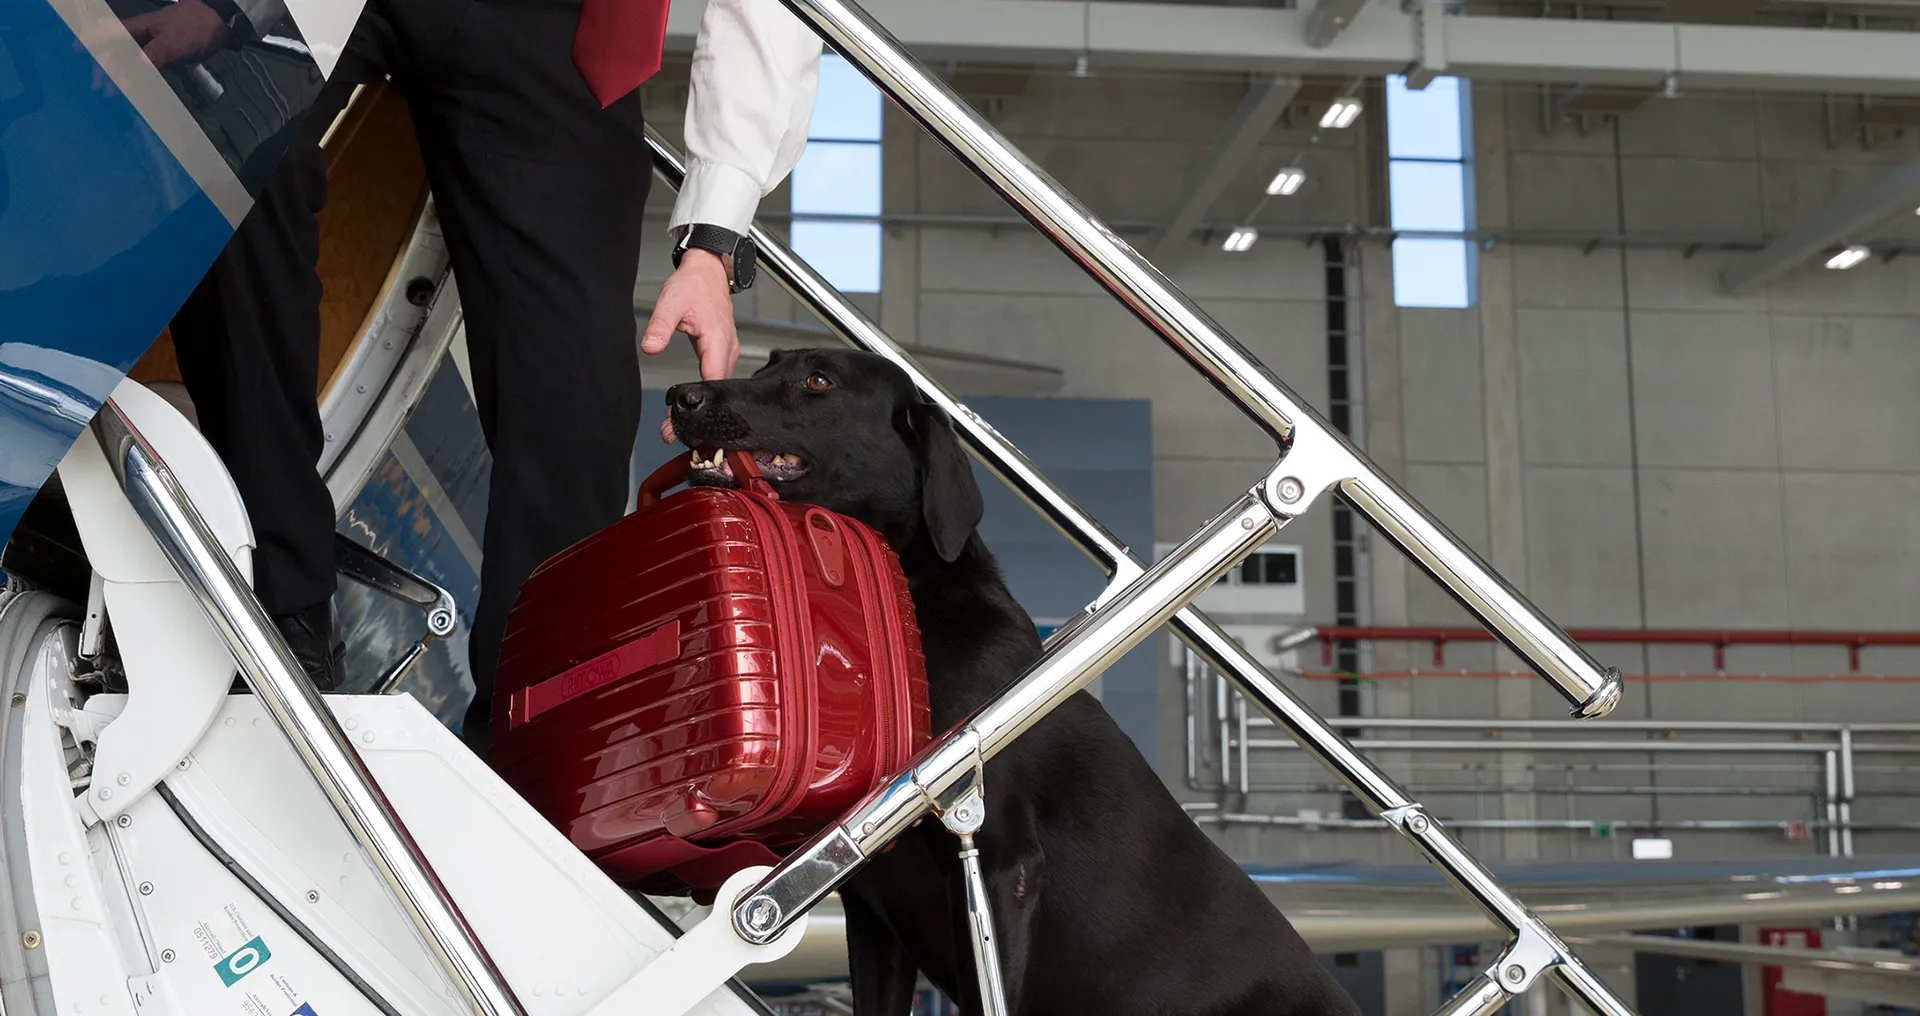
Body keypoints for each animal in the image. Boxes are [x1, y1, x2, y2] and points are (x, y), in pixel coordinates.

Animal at [668, 351, 1359, 1014]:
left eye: (817, 381)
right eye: (765, 365)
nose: (681, 394)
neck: (917, 606)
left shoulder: (997, 864)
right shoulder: (869, 913)